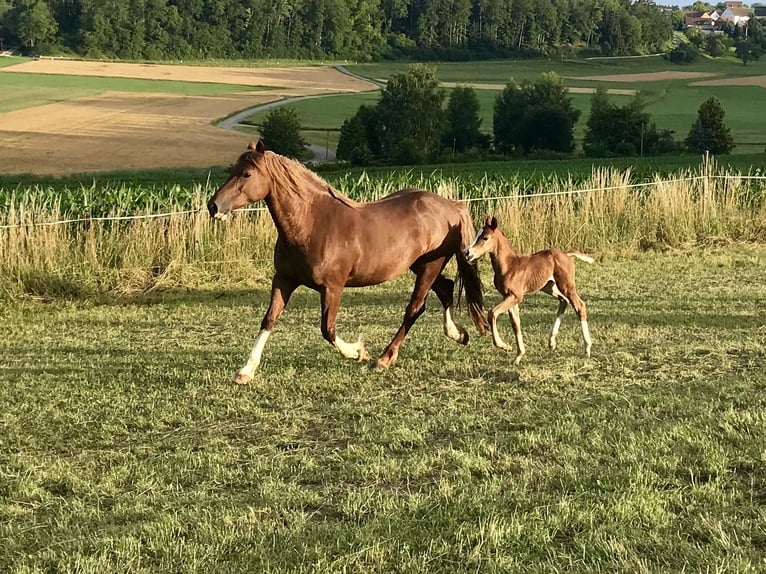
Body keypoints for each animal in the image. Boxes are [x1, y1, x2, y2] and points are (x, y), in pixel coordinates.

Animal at [464, 216, 596, 364]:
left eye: (485, 238)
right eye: (476, 235)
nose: (467, 252)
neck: (509, 265)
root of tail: (566, 254)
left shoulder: (516, 296)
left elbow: (492, 313)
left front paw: (504, 345)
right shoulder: (508, 296)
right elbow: (515, 323)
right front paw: (518, 356)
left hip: (566, 285)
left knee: (579, 306)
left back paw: (587, 348)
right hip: (549, 286)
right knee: (564, 301)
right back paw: (552, 342)